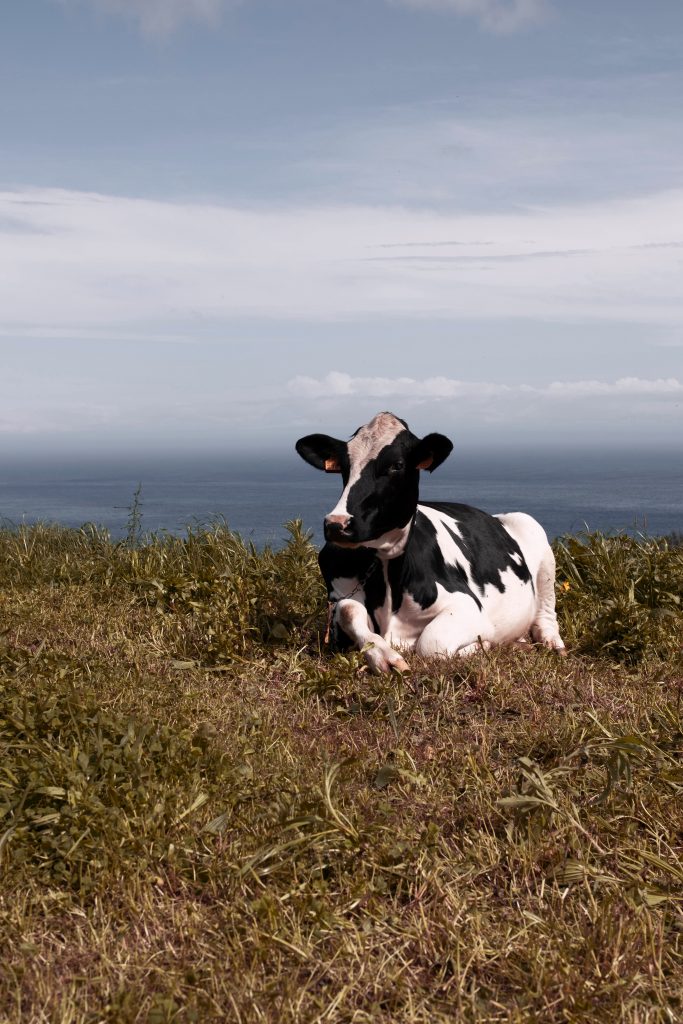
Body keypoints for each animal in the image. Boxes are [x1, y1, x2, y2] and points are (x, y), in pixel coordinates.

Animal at [295, 411, 565, 673]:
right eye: (344, 466)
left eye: (397, 465)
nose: (336, 524)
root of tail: (495, 516)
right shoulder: (336, 605)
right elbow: (349, 610)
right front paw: (384, 657)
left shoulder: (467, 605)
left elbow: (431, 644)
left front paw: (484, 645)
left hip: (534, 532)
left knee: (546, 614)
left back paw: (551, 643)